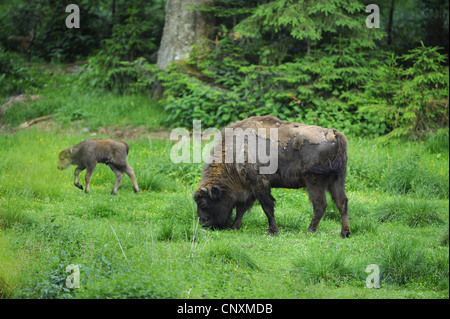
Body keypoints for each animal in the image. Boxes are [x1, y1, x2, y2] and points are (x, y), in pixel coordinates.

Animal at [193, 115, 352, 238]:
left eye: (203, 203)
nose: (203, 223)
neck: (235, 151)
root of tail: (335, 134)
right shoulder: (249, 188)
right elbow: (242, 209)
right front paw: (235, 227)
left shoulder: (258, 184)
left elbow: (267, 207)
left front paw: (273, 231)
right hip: (337, 179)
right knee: (342, 202)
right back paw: (344, 233)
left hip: (314, 182)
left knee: (320, 205)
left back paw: (310, 231)